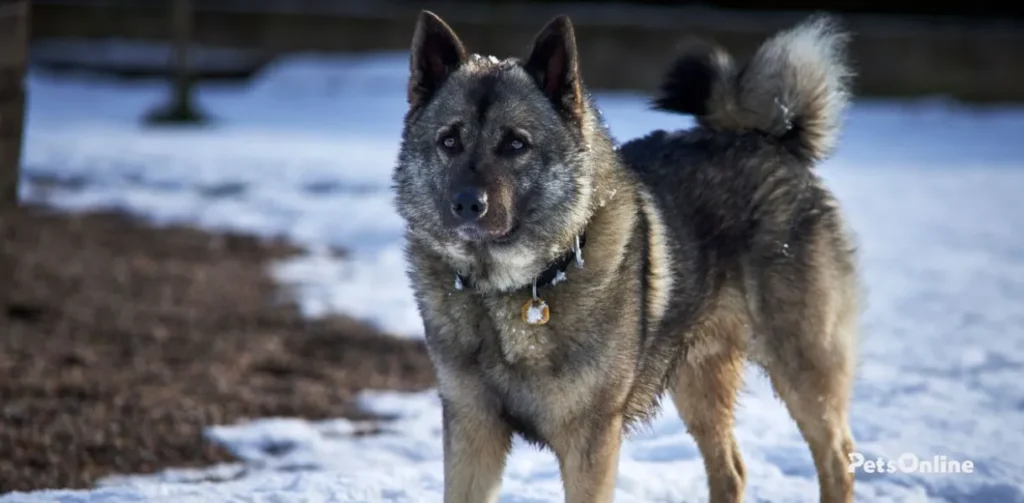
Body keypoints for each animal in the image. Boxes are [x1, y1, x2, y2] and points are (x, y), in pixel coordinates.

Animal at [395, 9, 860, 501]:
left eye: (516, 144)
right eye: (449, 141)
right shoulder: (471, 429)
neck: (516, 288)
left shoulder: (590, 441)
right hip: (698, 378)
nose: (467, 204)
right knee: (731, 469)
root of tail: (768, 140)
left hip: (805, 370)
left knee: (837, 460)